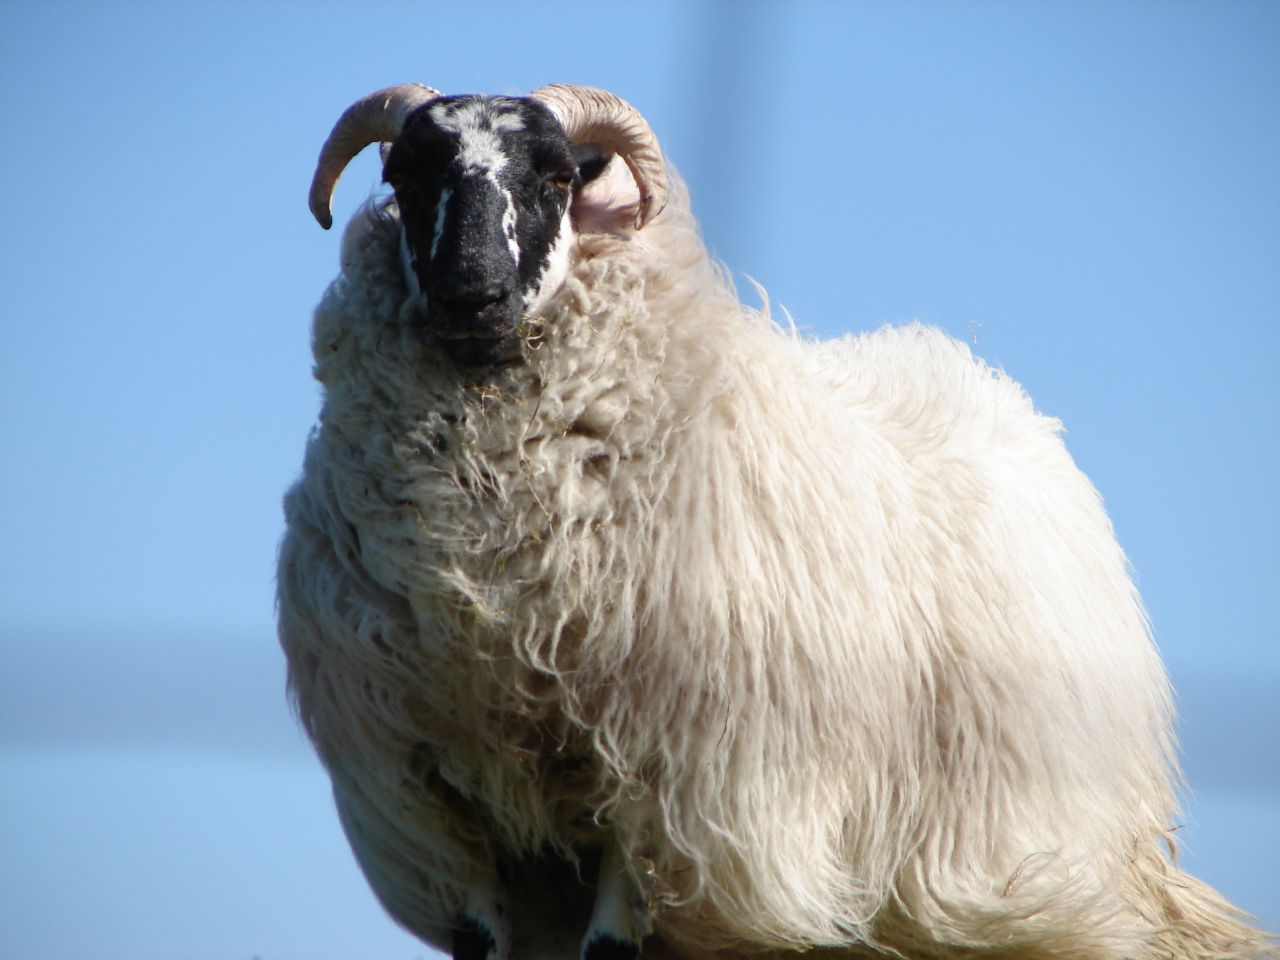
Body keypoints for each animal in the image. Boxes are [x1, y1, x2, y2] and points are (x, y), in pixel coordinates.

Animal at [277, 82, 1275, 960]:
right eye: (406, 178)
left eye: (558, 177)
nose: (471, 293)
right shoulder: (444, 804)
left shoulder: (657, 797)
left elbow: (611, 947)